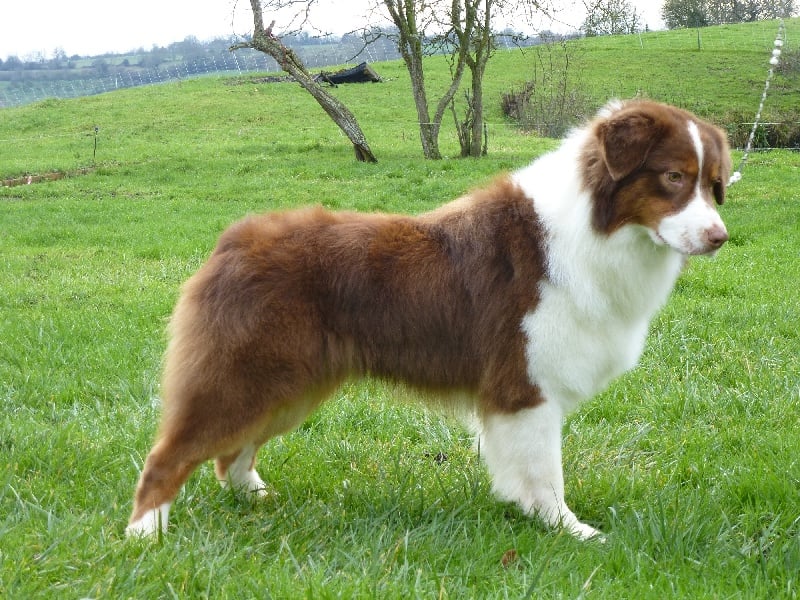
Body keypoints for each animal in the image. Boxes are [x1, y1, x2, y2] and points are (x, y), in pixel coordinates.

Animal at [126, 99, 730, 539]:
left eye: (713, 184)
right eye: (673, 177)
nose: (720, 237)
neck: (594, 229)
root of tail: (232, 240)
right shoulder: (525, 384)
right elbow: (545, 473)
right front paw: (570, 532)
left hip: (288, 385)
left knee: (231, 454)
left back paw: (258, 500)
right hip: (241, 377)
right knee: (168, 456)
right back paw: (145, 538)